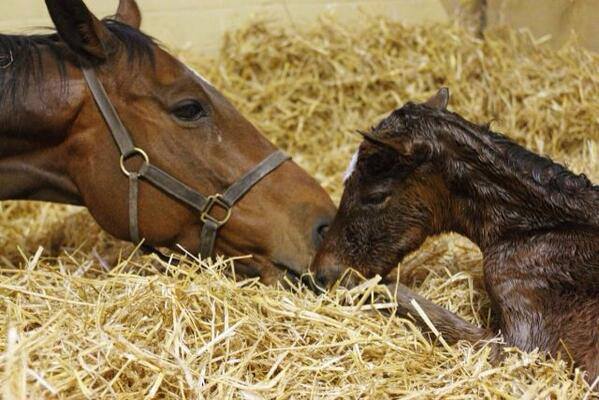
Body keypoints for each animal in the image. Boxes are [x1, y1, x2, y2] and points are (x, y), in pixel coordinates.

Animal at [314, 89, 599, 382]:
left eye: (376, 197)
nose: (321, 273)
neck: (537, 229)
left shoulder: (522, 348)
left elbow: (422, 309)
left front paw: (356, 285)